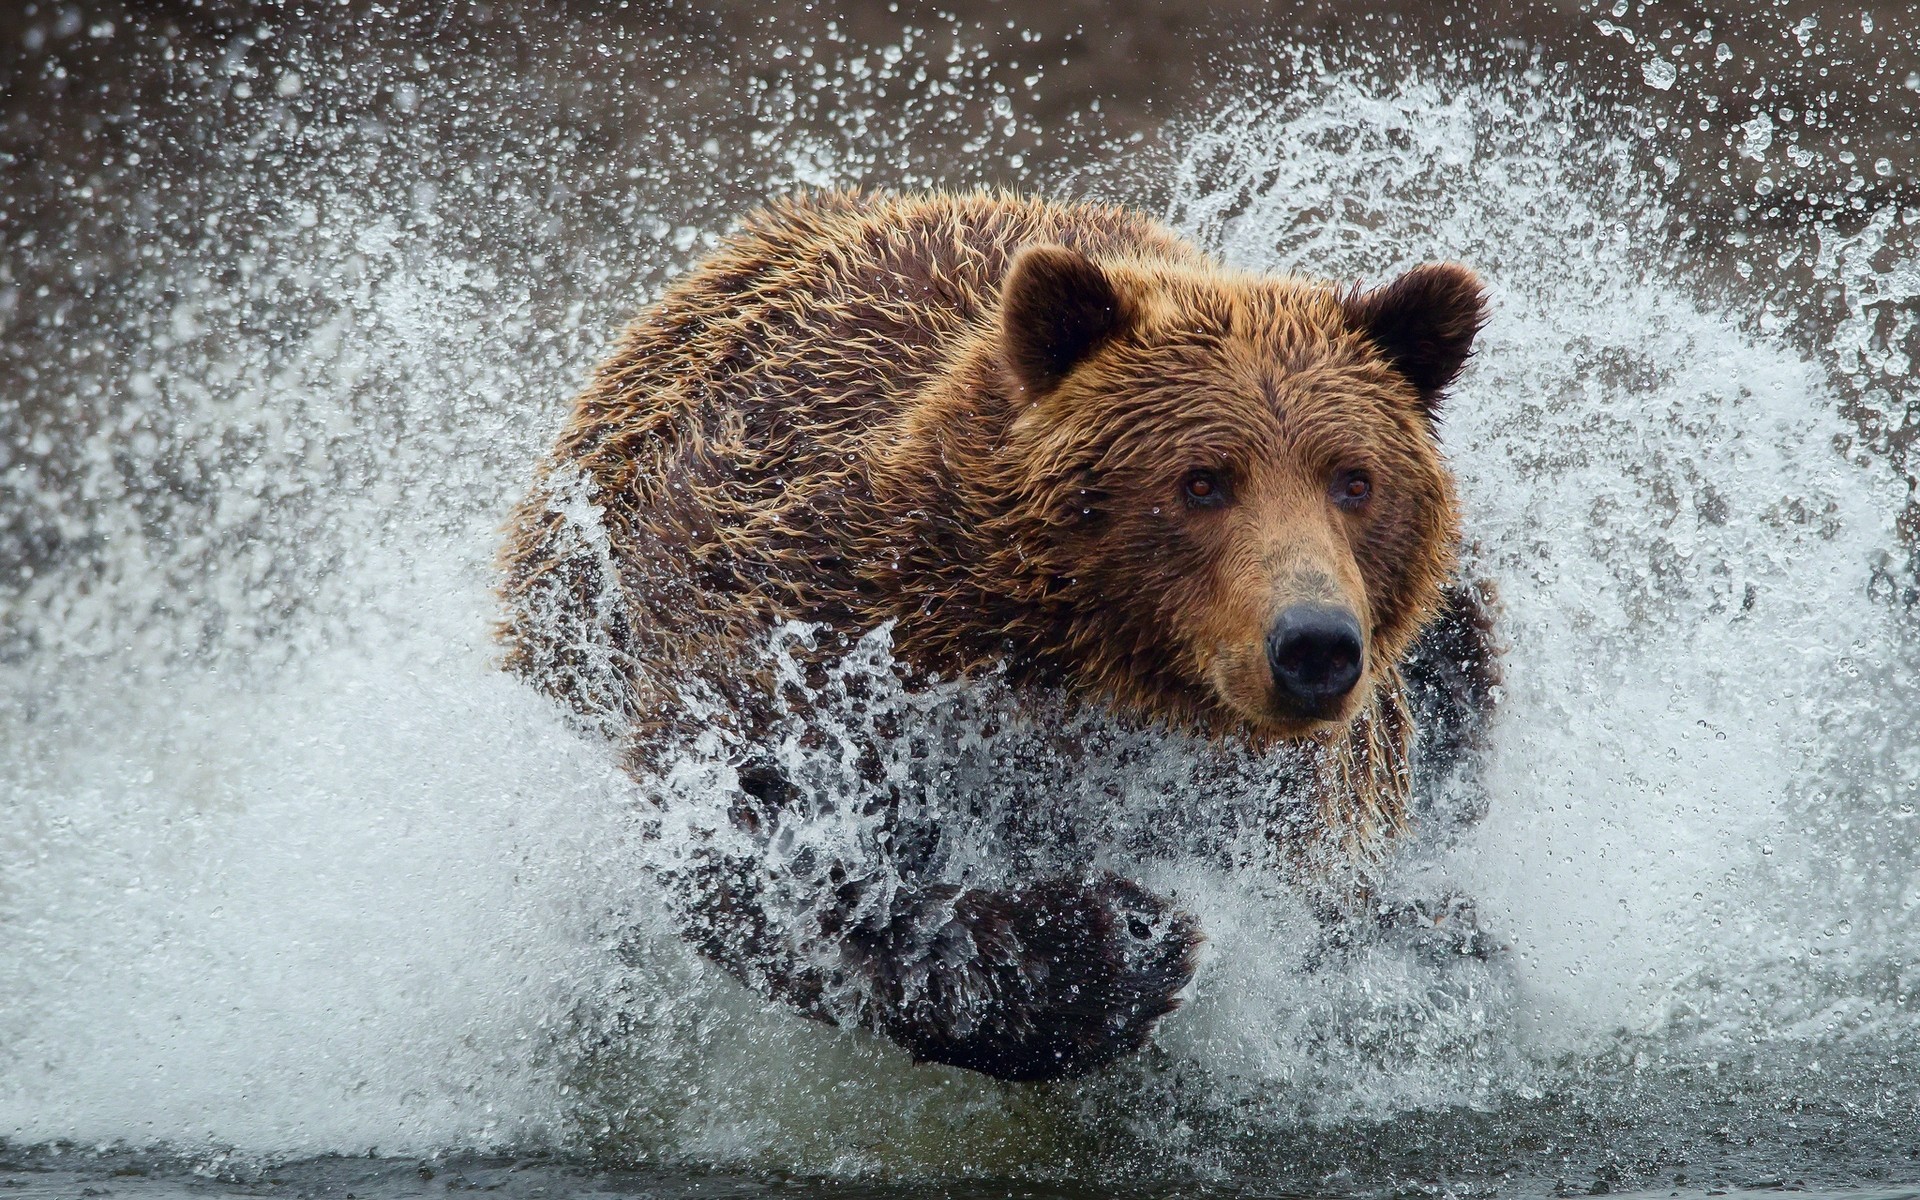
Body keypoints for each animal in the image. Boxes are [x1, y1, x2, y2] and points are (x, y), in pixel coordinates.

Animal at [495, 192, 1497, 1082]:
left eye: (1354, 479)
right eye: (1202, 480)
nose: (1314, 645)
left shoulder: (1289, 792)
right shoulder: (814, 618)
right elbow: (764, 835)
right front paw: (1112, 940)